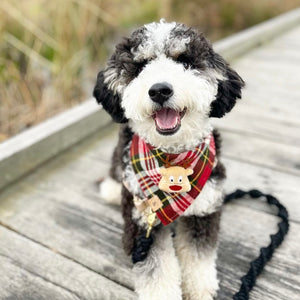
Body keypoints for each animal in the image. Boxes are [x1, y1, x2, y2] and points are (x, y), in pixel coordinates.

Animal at [93, 20, 244, 300]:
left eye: (184, 61)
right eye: (140, 66)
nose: (160, 90)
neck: (172, 158)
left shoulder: (204, 209)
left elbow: (198, 257)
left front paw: (199, 289)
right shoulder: (142, 222)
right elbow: (156, 269)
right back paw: (110, 188)